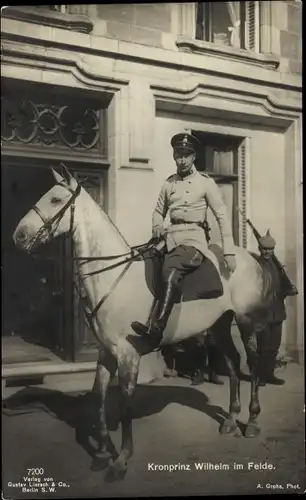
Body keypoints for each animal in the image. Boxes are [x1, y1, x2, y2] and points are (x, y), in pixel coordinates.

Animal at [11, 166, 274, 482]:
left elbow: (126, 404)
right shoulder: (105, 353)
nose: (18, 235)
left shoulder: (128, 355)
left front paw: (121, 459)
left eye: (56, 199)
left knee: (253, 363)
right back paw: (232, 419)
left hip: (246, 322)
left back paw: (253, 419)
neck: (111, 278)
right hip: (219, 324)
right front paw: (102, 453)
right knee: (234, 363)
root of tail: (249, 257)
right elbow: (99, 398)